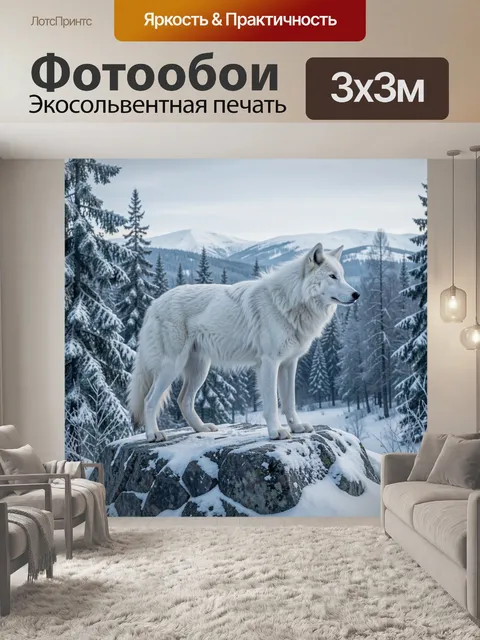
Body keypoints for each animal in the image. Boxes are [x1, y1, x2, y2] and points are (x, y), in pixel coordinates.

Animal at [129, 243, 359, 442]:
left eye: (343, 276)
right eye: (332, 276)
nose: (356, 294)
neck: (287, 302)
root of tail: (153, 305)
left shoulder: (289, 364)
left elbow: (289, 402)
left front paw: (297, 427)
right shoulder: (269, 363)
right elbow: (272, 405)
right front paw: (276, 432)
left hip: (199, 370)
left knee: (183, 400)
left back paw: (202, 428)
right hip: (172, 367)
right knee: (149, 401)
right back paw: (153, 435)